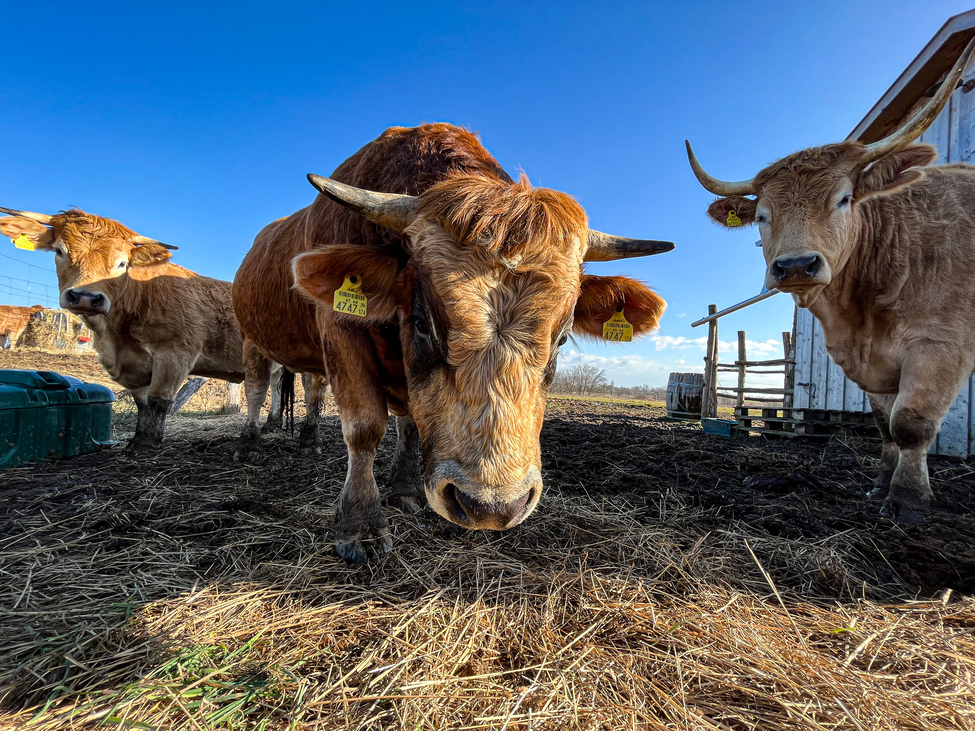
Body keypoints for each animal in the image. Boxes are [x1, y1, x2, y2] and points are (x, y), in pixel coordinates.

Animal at [234, 123, 676, 564]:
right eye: (422, 321)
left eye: (563, 336)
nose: (492, 507)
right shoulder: (342, 333)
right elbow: (364, 427)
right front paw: (360, 523)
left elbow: (411, 424)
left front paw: (405, 488)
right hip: (252, 341)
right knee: (256, 392)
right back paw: (249, 443)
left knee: (311, 391)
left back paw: (308, 442)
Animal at [688, 40, 975, 524]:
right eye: (761, 216)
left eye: (843, 200)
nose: (796, 266)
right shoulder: (873, 366)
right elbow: (885, 425)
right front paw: (879, 487)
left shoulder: (941, 344)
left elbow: (911, 423)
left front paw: (908, 501)